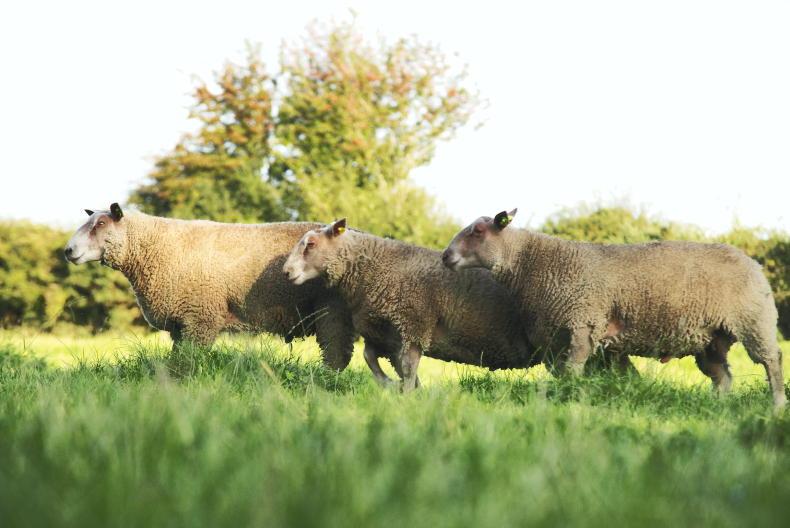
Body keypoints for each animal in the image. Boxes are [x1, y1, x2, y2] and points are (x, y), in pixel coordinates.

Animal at [64, 203, 356, 369]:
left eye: (101, 224)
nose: (68, 251)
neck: (155, 246)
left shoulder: (200, 317)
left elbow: (189, 362)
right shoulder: (181, 323)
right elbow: (178, 359)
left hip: (333, 311)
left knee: (336, 353)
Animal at [281, 218, 549, 390]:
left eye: (311, 244)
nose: (286, 272)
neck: (374, 267)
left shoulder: (414, 325)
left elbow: (408, 367)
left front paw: (408, 393)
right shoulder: (384, 332)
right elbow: (370, 357)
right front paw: (391, 384)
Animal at [442, 209, 787, 408]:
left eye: (477, 231)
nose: (445, 257)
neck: (534, 263)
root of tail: (753, 263)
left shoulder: (583, 322)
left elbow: (574, 369)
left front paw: (572, 397)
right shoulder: (561, 334)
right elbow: (567, 370)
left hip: (754, 321)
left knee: (772, 361)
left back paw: (777, 405)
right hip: (711, 339)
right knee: (723, 376)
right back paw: (718, 407)